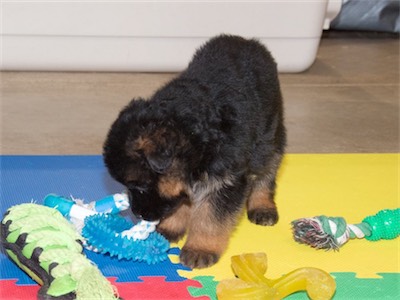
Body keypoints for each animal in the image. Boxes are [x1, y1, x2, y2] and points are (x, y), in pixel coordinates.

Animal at [103, 34, 284, 268]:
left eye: (140, 187)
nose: (138, 214)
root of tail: (248, 41)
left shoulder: (226, 181)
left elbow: (211, 218)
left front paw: (201, 248)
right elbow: (180, 203)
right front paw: (170, 227)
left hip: (268, 136)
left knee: (267, 171)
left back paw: (262, 206)